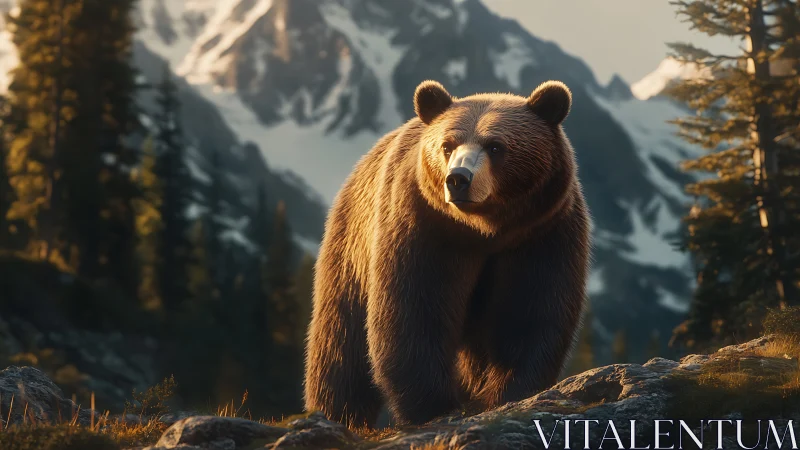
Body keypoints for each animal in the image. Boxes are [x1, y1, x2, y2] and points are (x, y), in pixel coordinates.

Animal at [303, 79, 591, 428]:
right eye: (447, 145)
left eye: (495, 146)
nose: (458, 179)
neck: (486, 230)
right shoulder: (425, 225)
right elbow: (414, 310)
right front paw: (434, 405)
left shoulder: (543, 233)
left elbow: (531, 311)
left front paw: (506, 393)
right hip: (351, 249)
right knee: (340, 343)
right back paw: (337, 412)